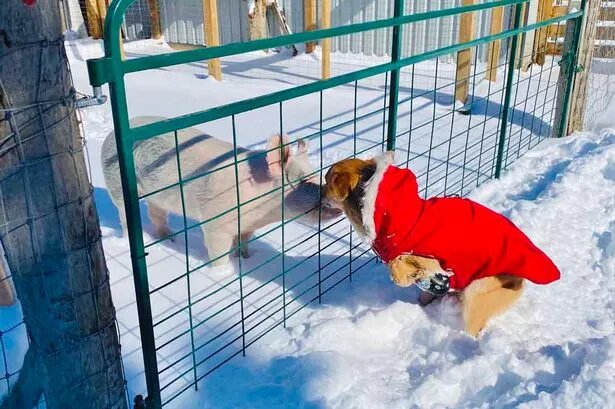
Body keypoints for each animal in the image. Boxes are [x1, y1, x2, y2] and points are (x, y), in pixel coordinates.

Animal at [102, 116, 342, 266]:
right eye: (303, 180)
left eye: (316, 175)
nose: (337, 205)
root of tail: (110, 135)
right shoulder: (215, 223)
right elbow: (218, 253)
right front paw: (224, 274)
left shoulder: (247, 226)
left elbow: (243, 243)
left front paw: (246, 259)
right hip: (116, 183)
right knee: (124, 216)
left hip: (157, 196)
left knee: (156, 213)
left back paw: (170, 240)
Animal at [324, 152, 560, 334]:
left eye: (328, 181)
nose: (319, 195)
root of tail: (522, 280)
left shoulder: (430, 256)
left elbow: (399, 264)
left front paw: (415, 276)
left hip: (477, 294)